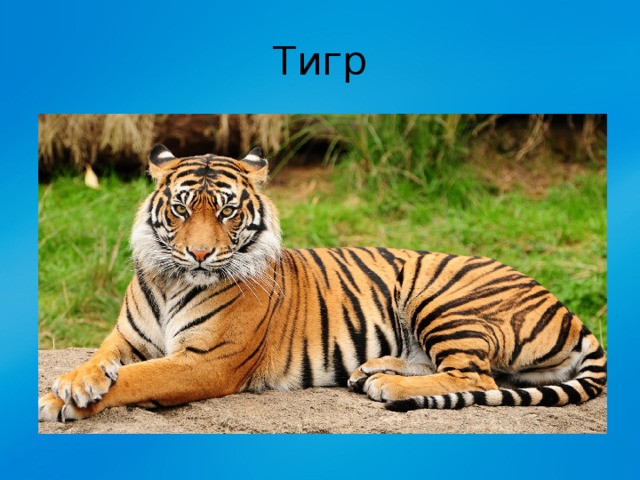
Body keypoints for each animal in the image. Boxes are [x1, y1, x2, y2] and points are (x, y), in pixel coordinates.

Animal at [38, 144, 607, 422]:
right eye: (180, 209)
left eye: (226, 212)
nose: (199, 253)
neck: (171, 279)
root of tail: (568, 309)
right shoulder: (126, 337)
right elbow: (101, 360)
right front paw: (74, 382)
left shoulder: (207, 361)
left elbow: (138, 379)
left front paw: (63, 399)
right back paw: (371, 369)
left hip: (441, 297)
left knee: (476, 376)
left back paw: (387, 384)